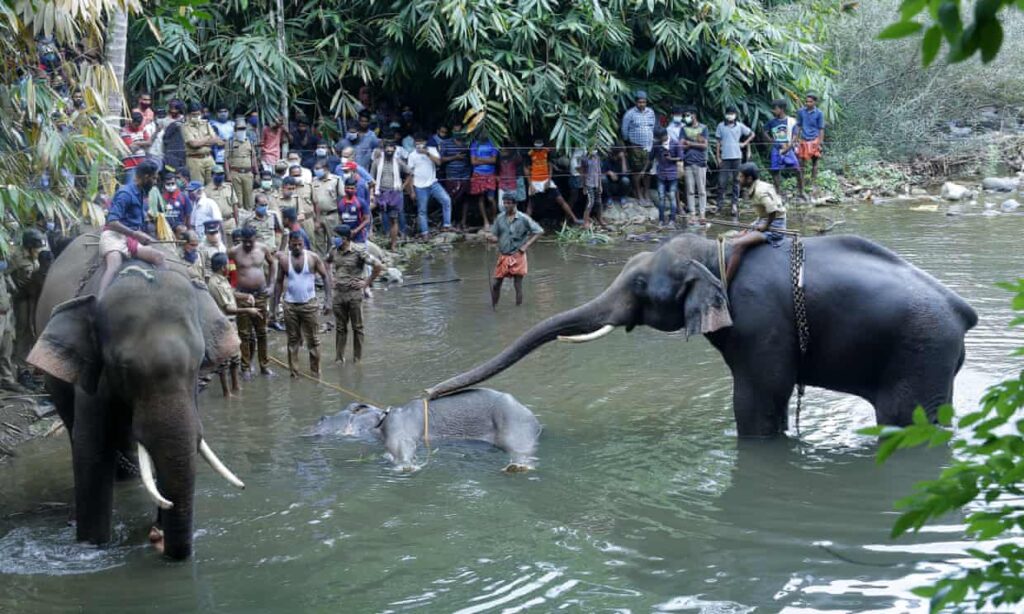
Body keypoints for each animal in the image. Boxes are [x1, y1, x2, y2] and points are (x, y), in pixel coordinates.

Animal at [27, 232, 243, 560]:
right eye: (122, 367)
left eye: (198, 361)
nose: (159, 538)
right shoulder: (94, 376)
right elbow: (91, 452)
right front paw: (93, 547)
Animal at [305, 388, 540, 470]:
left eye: (323, 418)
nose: (319, 418)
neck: (381, 418)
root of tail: (537, 423)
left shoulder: (399, 426)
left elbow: (402, 445)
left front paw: (406, 466)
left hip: (513, 425)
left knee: (520, 449)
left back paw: (518, 467)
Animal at [428, 232, 978, 437]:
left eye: (640, 285)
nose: (430, 393)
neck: (721, 250)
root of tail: (962, 312)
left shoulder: (760, 321)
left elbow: (760, 397)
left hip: (920, 351)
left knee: (908, 419)